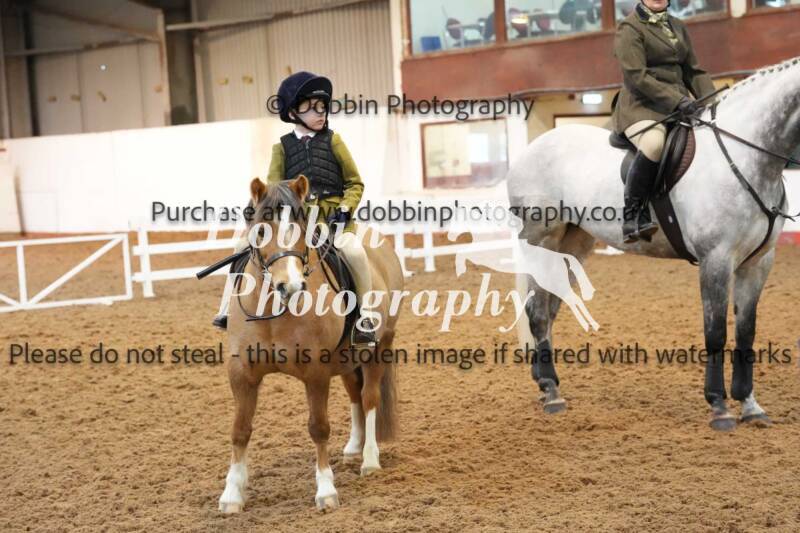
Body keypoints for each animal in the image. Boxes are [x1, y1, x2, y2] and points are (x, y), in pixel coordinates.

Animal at [218, 175, 404, 512]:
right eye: (261, 228)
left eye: (303, 226)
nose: (290, 286)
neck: (274, 310)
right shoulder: (241, 373)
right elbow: (240, 429)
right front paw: (232, 494)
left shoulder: (315, 372)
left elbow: (318, 427)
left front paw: (326, 491)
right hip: (346, 360)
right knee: (355, 395)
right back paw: (353, 448)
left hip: (379, 348)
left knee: (369, 398)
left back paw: (369, 459)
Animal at [508, 57, 800, 431]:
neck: (744, 156)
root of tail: (532, 148)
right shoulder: (716, 259)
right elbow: (715, 332)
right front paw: (719, 407)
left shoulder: (758, 262)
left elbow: (746, 332)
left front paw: (750, 405)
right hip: (540, 239)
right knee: (538, 310)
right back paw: (551, 392)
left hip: (575, 243)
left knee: (551, 306)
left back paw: (546, 383)